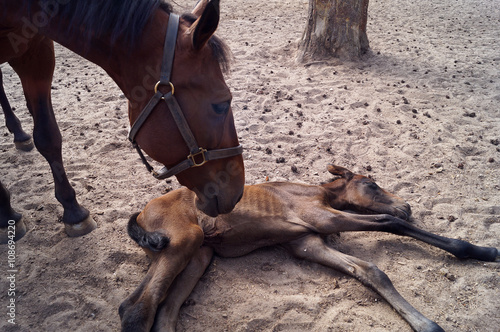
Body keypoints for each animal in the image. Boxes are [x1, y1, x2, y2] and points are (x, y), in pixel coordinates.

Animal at [119, 165, 498, 332]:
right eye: (371, 184)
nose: (406, 205)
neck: (320, 194)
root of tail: (142, 211)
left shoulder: (307, 242)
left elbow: (370, 270)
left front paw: (425, 324)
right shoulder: (323, 218)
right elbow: (391, 224)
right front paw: (482, 250)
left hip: (197, 255)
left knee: (154, 310)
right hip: (185, 241)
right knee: (139, 310)